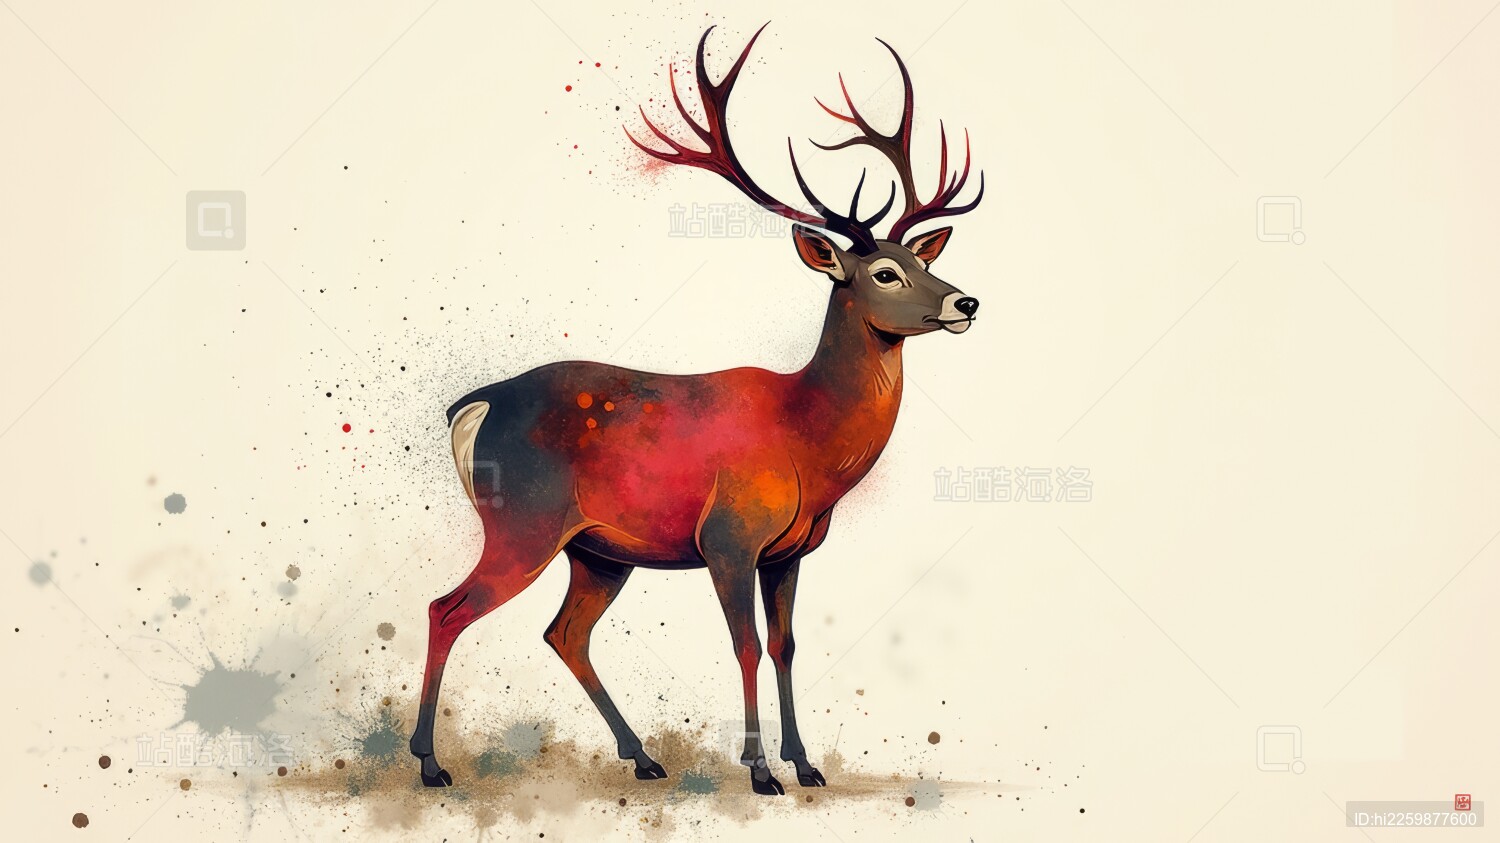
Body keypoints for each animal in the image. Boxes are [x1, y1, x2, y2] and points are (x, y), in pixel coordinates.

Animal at [409, 23, 983, 795]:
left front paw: (806, 763)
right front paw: (761, 769)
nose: (966, 302)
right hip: (522, 524)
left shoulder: (789, 550)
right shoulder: (729, 536)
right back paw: (430, 762)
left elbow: (786, 645)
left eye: (924, 261)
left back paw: (644, 755)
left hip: (597, 550)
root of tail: (472, 408)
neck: (809, 438)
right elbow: (745, 645)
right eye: (884, 272)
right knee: (447, 608)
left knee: (564, 632)